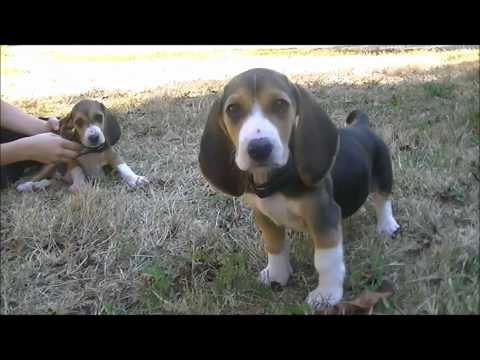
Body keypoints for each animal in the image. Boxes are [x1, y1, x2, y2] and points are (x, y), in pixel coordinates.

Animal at [16, 99, 148, 191]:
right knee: (39, 177)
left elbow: (123, 167)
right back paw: (27, 185)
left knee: (52, 181)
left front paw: (136, 179)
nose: (94, 137)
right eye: (78, 122)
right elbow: (78, 170)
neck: (92, 151)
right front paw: (79, 185)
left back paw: (40, 185)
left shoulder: (113, 156)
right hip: (51, 165)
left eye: (99, 117)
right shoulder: (71, 159)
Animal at [197, 67, 400, 310]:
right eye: (233, 109)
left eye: (280, 104)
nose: (259, 148)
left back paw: (387, 225)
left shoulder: (323, 215)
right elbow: (274, 246)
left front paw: (326, 295)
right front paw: (276, 275)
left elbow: (326, 260)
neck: (277, 180)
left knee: (383, 200)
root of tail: (361, 125)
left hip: (383, 173)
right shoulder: (264, 216)